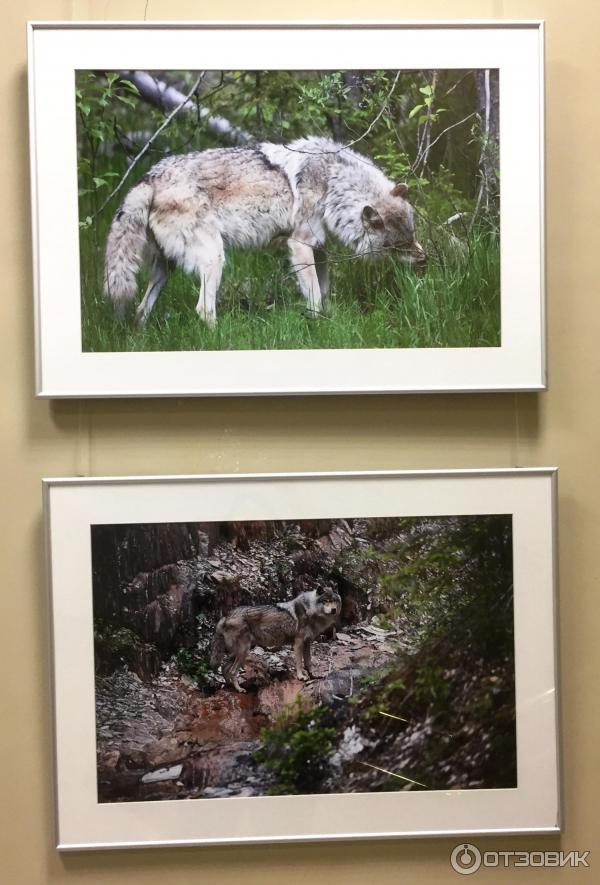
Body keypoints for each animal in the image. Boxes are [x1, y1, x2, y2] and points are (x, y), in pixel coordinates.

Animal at [103, 138, 426, 328]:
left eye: (412, 235)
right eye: (399, 246)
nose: (425, 262)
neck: (333, 182)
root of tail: (150, 177)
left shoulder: (319, 248)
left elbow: (324, 292)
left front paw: (329, 320)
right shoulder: (299, 245)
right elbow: (314, 296)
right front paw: (316, 326)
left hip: (165, 269)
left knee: (140, 310)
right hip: (214, 260)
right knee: (203, 310)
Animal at [211, 588, 342, 692]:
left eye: (334, 601)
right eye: (326, 601)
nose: (334, 610)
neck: (310, 610)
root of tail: (225, 616)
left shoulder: (307, 642)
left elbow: (308, 662)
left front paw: (313, 676)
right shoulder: (298, 643)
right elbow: (299, 663)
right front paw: (301, 677)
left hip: (239, 652)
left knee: (225, 668)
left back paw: (229, 686)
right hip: (244, 651)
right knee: (232, 671)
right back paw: (239, 689)